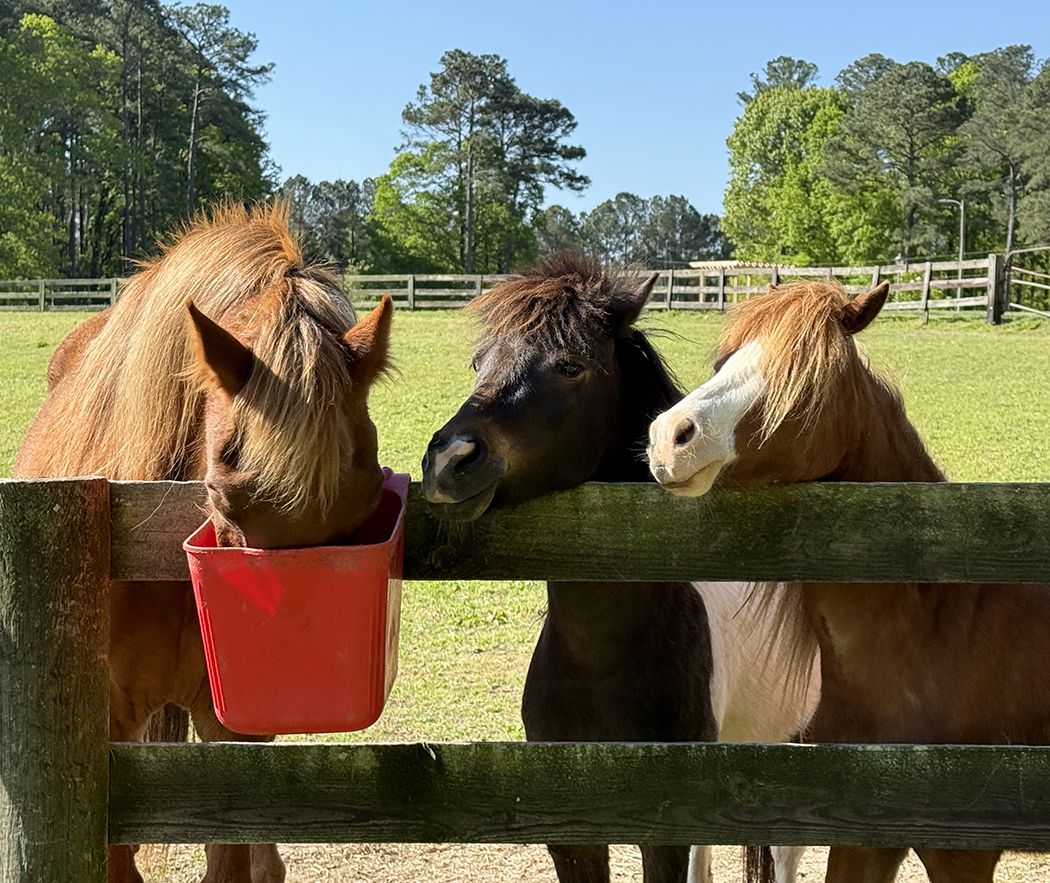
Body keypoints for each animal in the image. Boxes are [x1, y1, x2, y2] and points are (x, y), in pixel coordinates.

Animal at [420, 253, 819, 883]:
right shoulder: (572, 835)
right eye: (479, 362)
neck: (600, 662)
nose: (449, 460)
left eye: (570, 366)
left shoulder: (662, 831)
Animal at [647, 278, 1050, 883]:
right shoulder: (860, 832)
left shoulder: (964, 849)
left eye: (800, 376)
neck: (938, 633)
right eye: (724, 361)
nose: (670, 437)